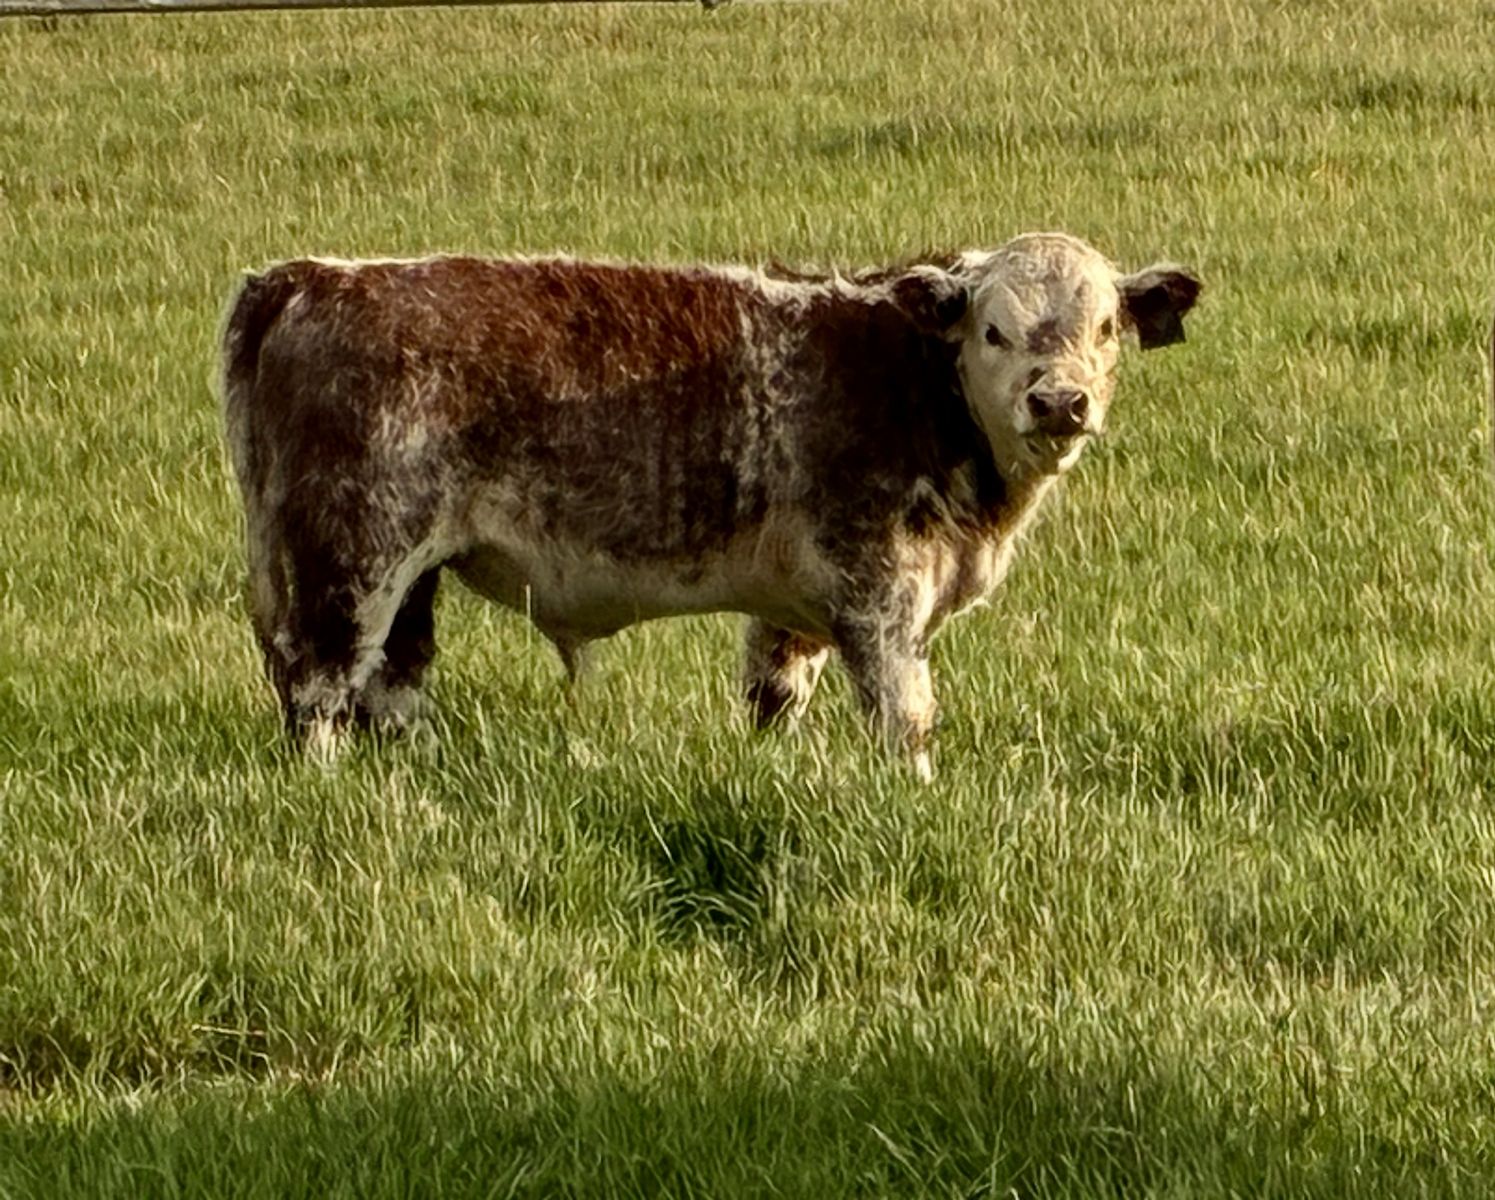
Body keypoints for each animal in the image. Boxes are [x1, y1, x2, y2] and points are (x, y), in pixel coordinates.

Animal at [222, 233, 1200, 776]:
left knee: (391, 683)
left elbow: (773, 698)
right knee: (318, 688)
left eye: (1104, 328)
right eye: (993, 331)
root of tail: (309, 277)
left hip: (408, 571)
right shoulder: (880, 594)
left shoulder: (796, 610)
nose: (1060, 402)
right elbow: (904, 718)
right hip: (351, 556)